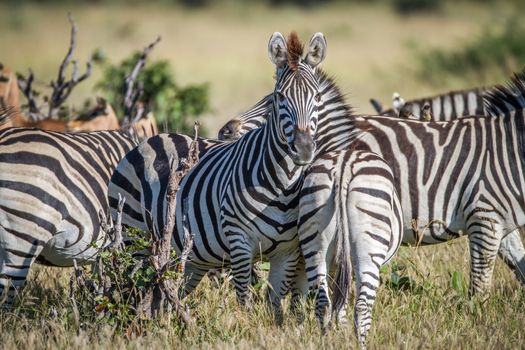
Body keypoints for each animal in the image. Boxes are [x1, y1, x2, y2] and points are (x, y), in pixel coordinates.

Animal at [109, 31, 326, 314]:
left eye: (317, 97)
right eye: (279, 97)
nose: (303, 149)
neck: (283, 187)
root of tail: (153, 138)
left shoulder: (287, 252)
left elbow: (274, 308)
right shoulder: (240, 243)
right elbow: (245, 304)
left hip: (189, 258)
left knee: (163, 297)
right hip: (132, 235)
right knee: (131, 289)